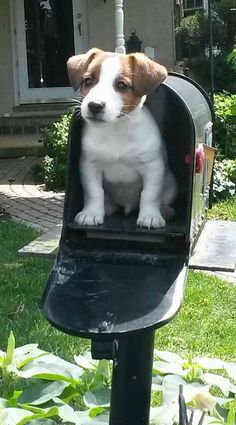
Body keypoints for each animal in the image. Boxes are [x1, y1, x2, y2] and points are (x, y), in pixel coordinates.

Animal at [67, 48, 176, 229]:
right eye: (88, 81)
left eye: (121, 86)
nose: (95, 105)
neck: (116, 129)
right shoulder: (90, 166)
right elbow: (94, 192)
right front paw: (92, 213)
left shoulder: (153, 168)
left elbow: (150, 194)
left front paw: (150, 216)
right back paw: (107, 206)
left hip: (171, 184)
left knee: (163, 199)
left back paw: (164, 210)